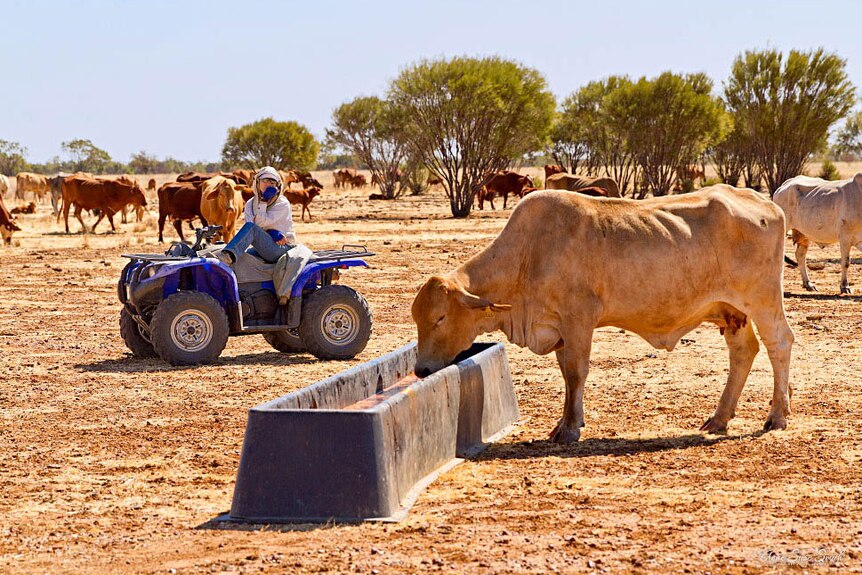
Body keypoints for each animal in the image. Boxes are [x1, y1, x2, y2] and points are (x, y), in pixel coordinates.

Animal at [412, 187, 796, 444]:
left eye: (440, 318)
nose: (421, 370)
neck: (528, 255)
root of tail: (765, 202)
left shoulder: (579, 320)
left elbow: (576, 372)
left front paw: (569, 429)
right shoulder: (561, 330)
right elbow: (567, 375)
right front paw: (565, 422)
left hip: (762, 300)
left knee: (779, 343)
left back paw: (776, 415)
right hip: (732, 312)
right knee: (743, 352)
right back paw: (719, 418)